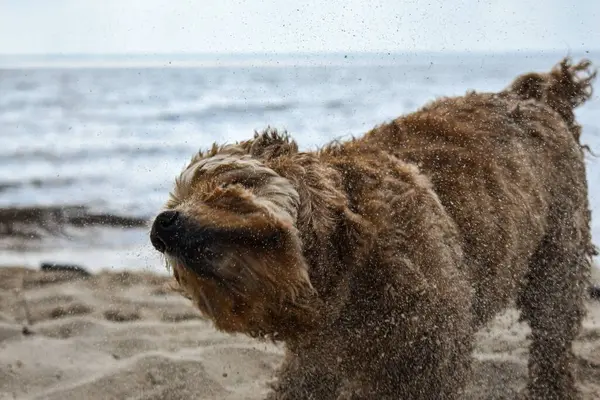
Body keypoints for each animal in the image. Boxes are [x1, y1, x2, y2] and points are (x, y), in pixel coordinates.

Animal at [149, 57, 596, 398]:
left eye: (216, 183)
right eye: (175, 201)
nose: (160, 227)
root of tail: (532, 95)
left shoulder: (428, 351)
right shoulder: (317, 358)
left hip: (558, 256)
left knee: (552, 333)